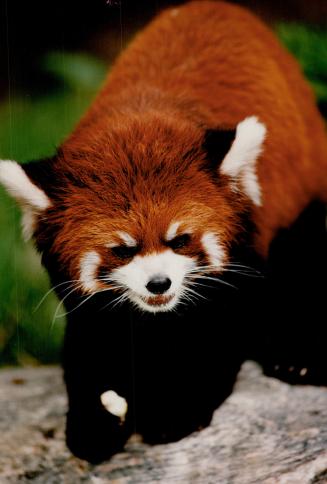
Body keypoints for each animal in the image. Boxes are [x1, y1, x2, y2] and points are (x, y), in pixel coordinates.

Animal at [0, 0, 327, 462]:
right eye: (122, 249)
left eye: (180, 240)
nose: (159, 284)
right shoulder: (92, 307)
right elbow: (91, 345)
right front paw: (94, 421)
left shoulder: (242, 259)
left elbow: (218, 332)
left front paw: (175, 411)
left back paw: (296, 354)